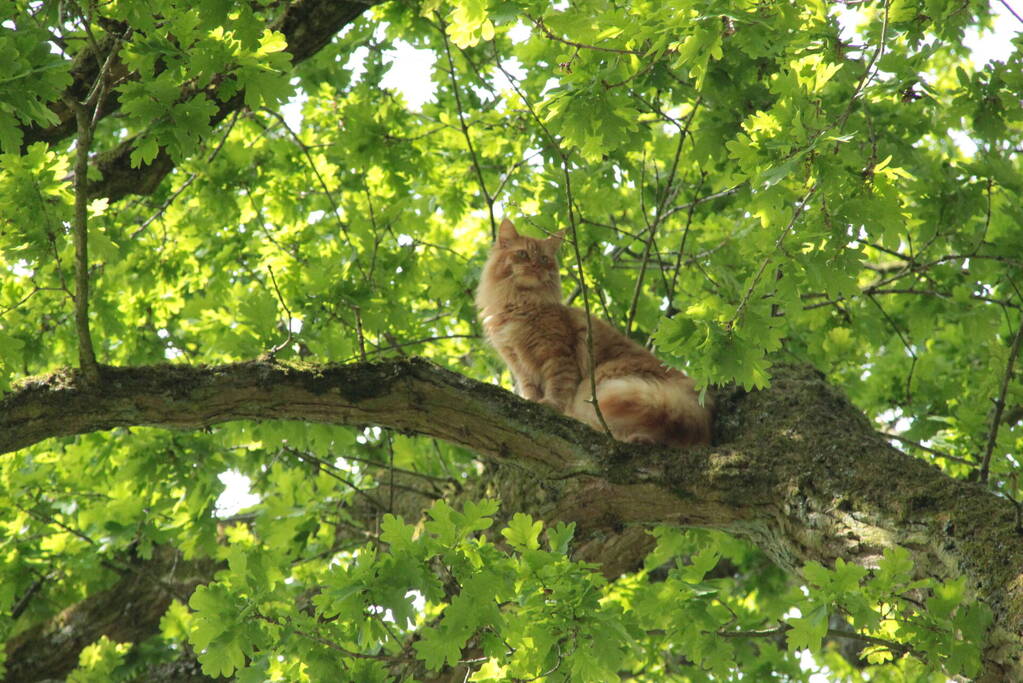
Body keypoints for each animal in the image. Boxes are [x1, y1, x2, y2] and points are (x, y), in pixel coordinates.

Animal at [476, 215, 712, 445]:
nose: (535, 266)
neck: (520, 304)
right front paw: (534, 402)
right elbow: (531, 391)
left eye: (543, 259)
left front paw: (550, 404)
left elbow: (558, 387)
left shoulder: (558, 355)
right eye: (522, 254)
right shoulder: (520, 366)